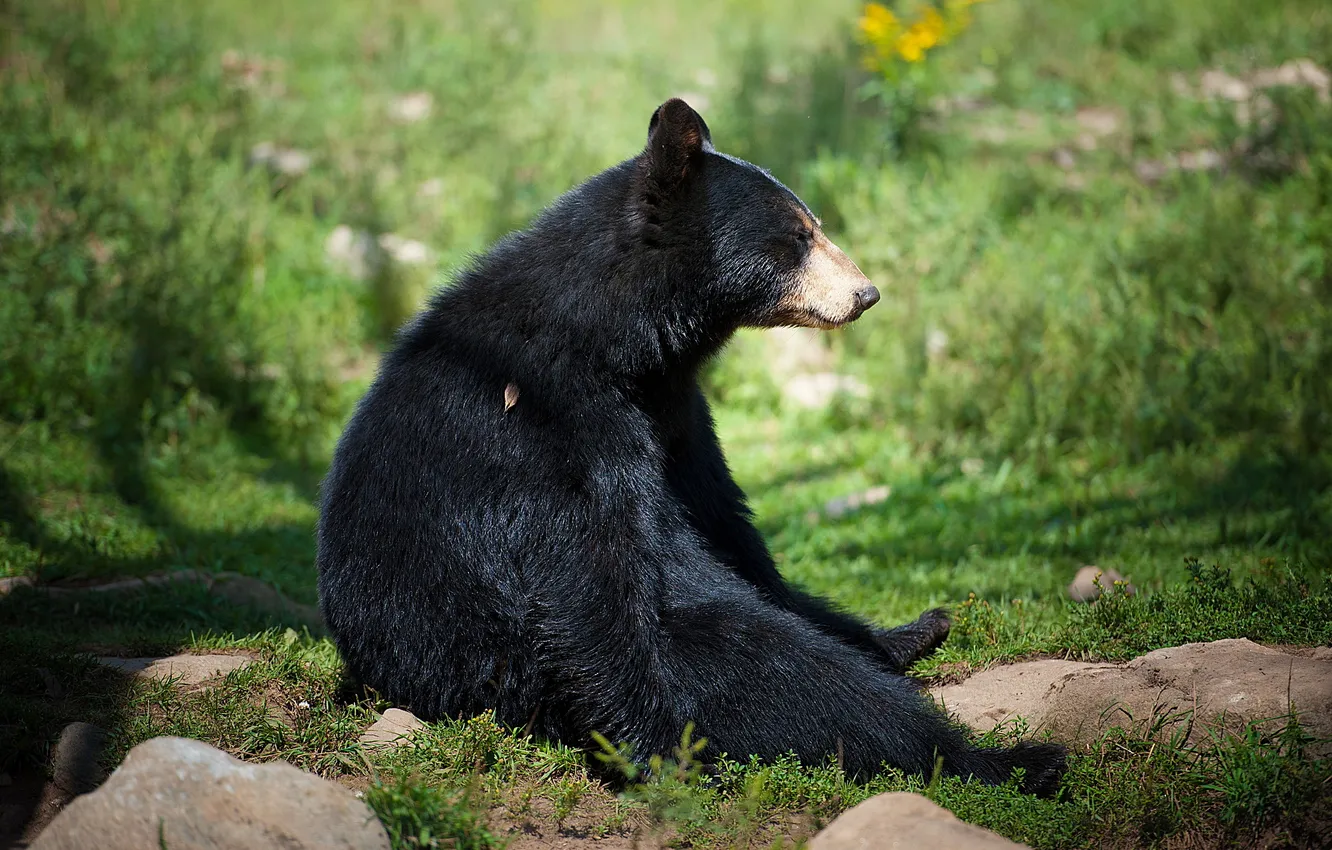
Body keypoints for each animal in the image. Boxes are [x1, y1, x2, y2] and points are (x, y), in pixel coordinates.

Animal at [317, 98, 1066, 796]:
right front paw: (663, 758)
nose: (866, 293)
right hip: (501, 667)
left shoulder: (675, 411)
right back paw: (1010, 759)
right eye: (798, 236)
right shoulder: (546, 427)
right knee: (784, 673)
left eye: (815, 226)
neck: (619, 341)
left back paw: (915, 632)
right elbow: (590, 585)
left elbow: (725, 523)